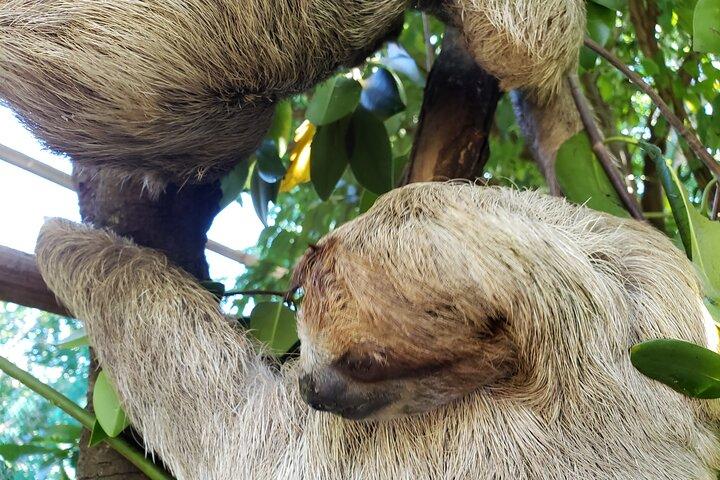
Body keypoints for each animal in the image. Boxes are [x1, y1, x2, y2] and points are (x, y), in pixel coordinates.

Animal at [36, 183, 720, 479]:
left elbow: (228, 423)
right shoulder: (657, 282)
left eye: (364, 362)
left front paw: (65, 239)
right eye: (303, 328)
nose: (315, 390)